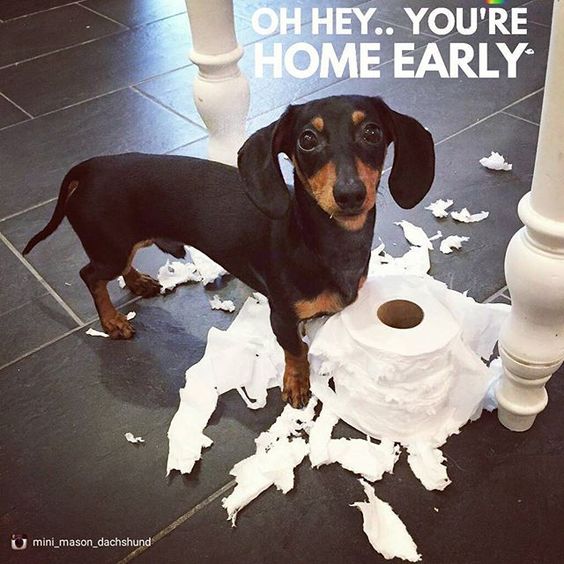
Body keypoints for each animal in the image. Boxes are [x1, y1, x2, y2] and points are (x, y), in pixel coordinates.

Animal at [23, 96, 436, 406]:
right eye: (306, 140)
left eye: (372, 132)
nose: (350, 195)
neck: (324, 241)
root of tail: (88, 168)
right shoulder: (281, 316)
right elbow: (296, 351)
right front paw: (296, 384)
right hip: (109, 247)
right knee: (90, 275)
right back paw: (112, 322)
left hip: (124, 243)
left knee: (119, 266)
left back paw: (138, 282)